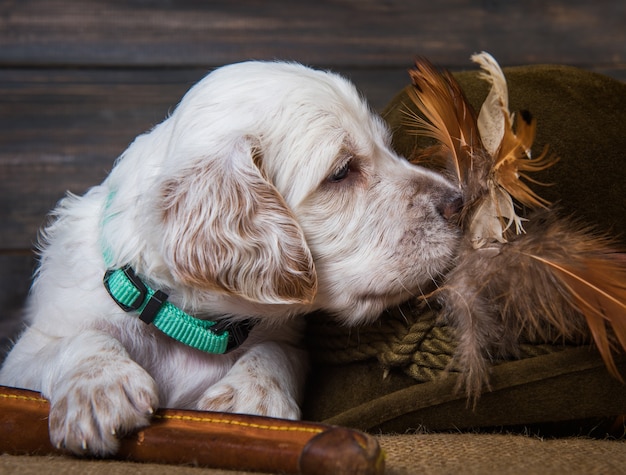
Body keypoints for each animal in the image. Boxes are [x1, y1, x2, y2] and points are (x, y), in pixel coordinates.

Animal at [0, 61, 458, 456]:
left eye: (386, 148)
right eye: (342, 171)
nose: (461, 202)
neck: (188, 321)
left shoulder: (287, 337)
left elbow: (275, 350)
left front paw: (253, 401)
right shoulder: (24, 358)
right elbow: (76, 338)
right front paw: (100, 386)